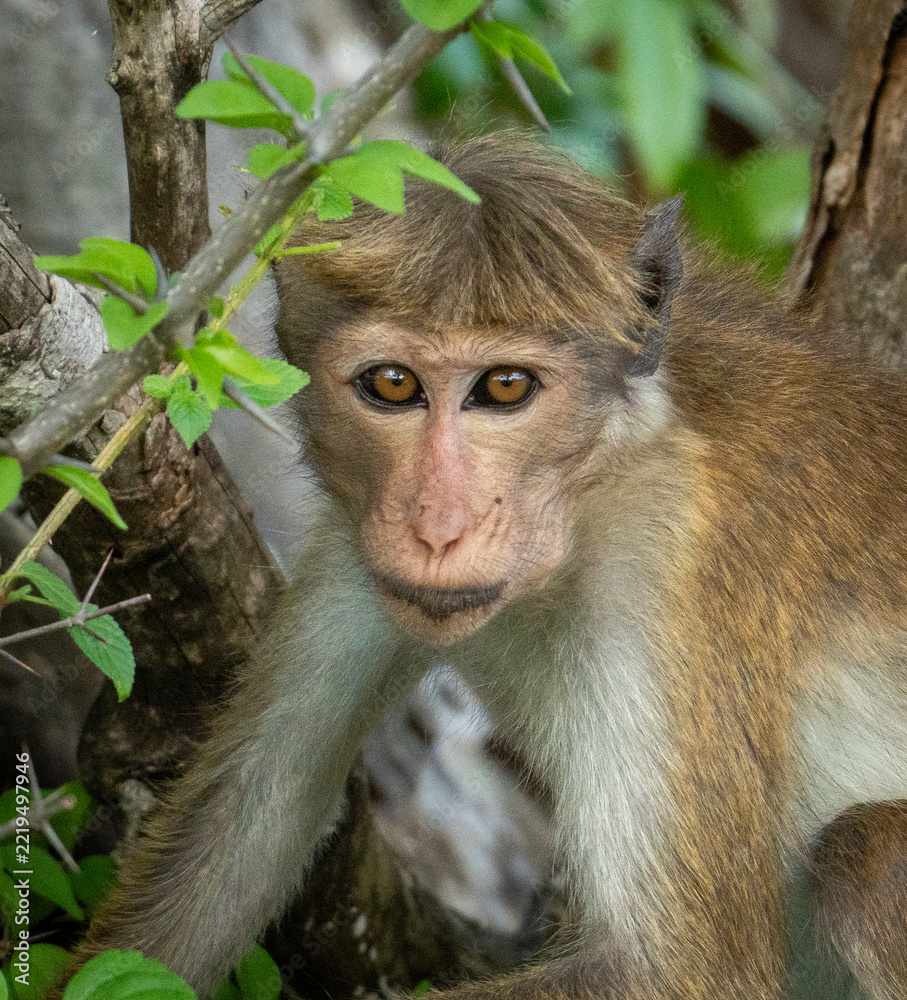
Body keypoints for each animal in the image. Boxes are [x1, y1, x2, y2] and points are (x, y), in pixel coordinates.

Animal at [58, 132, 907, 1000]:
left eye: (505, 387)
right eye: (391, 384)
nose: (437, 526)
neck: (599, 484)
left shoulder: (673, 561)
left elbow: (682, 969)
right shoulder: (359, 546)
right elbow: (242, 825)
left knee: (865, 857)